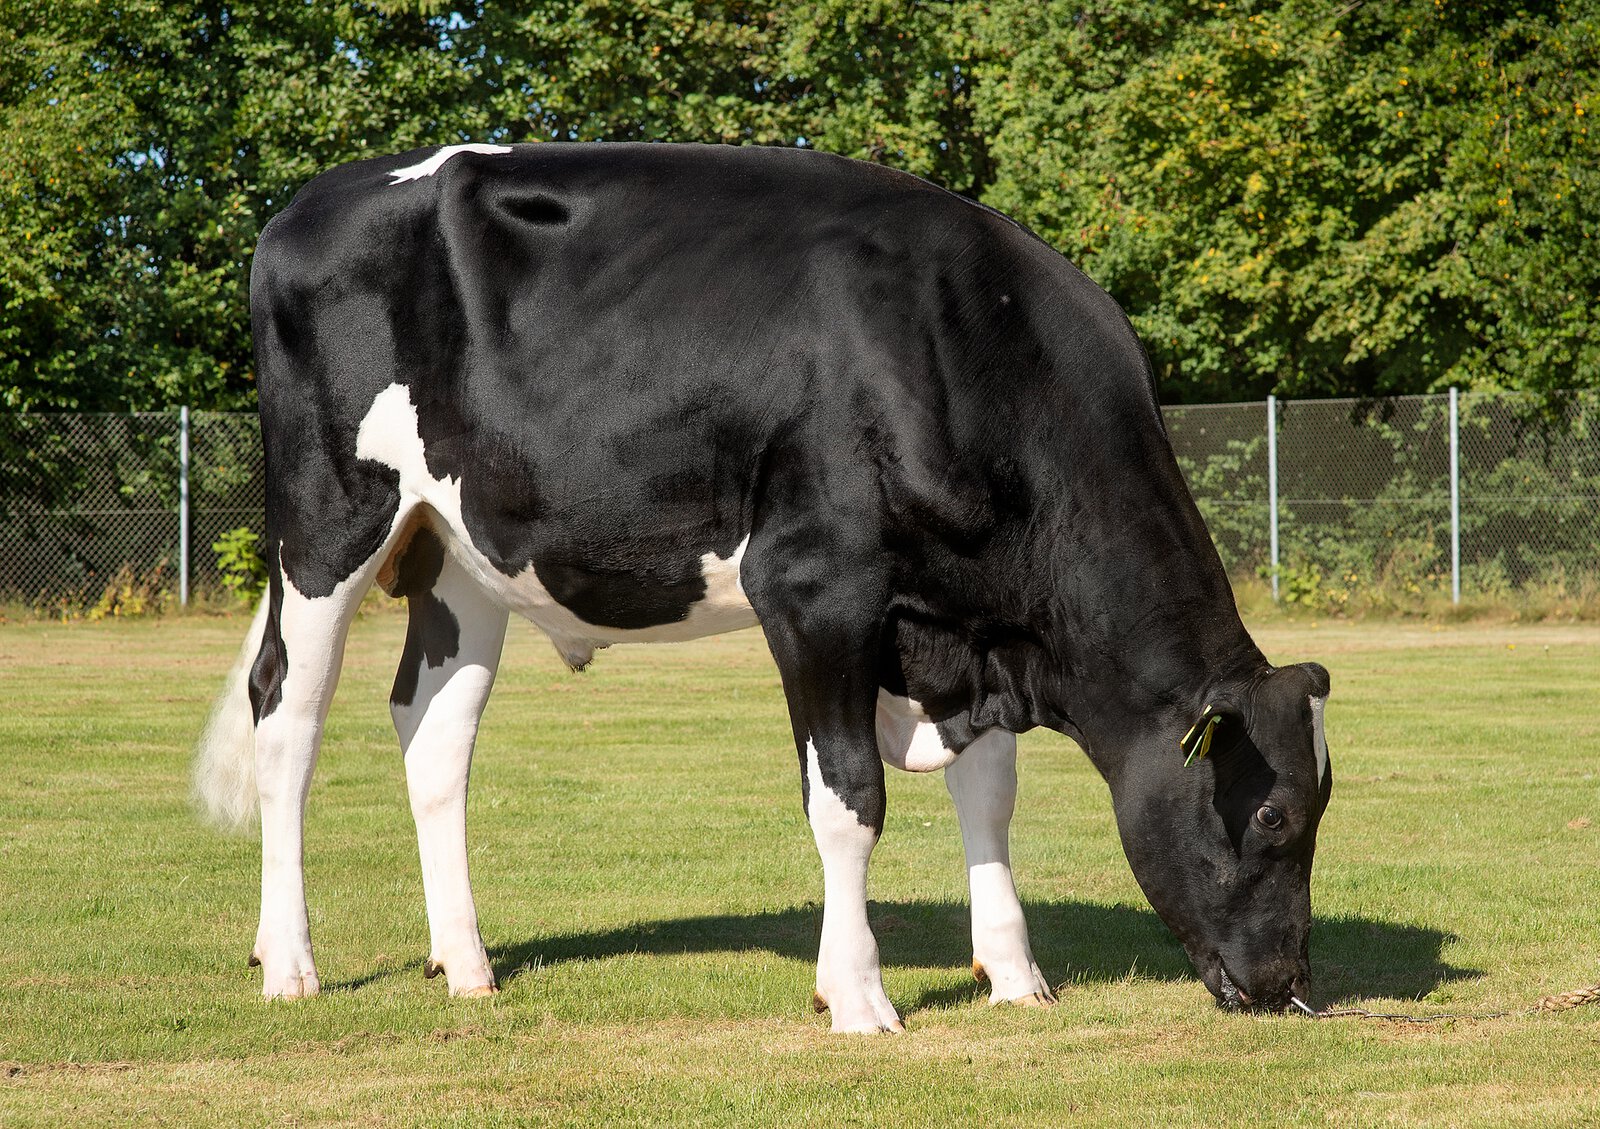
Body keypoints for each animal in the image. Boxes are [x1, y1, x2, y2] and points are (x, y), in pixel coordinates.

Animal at [195, 141, 1334, 1032]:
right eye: (1274, 815)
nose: (1286, 984)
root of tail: (311, 200)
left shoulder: (965, 626)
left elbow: (989, 792)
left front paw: (1014, 973)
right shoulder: (815, 588)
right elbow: (849, 798)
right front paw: (858, 996)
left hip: (461, 546)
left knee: (432, 730)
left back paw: (466, 964)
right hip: (330, 518)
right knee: (286, 714)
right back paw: (289, 961)